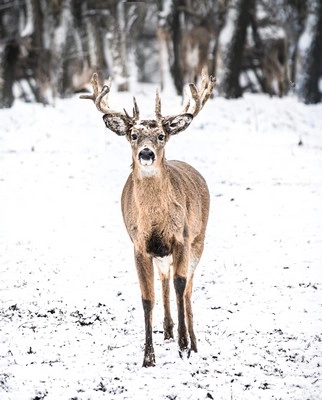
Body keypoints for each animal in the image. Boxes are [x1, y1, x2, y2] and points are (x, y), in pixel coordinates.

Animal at [80, 68, 216, 366]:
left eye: (161, 135)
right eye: (132, 134)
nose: (146, 153)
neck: (155, 220)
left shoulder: (182, 238)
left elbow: (180, 285)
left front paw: (184, 346)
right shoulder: (139, 245)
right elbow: (147, 297)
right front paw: (148, 357)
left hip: (199, 239)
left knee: (187, 288)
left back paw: (192, 342)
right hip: (161, 253)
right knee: (164, 279)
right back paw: (167, 331)